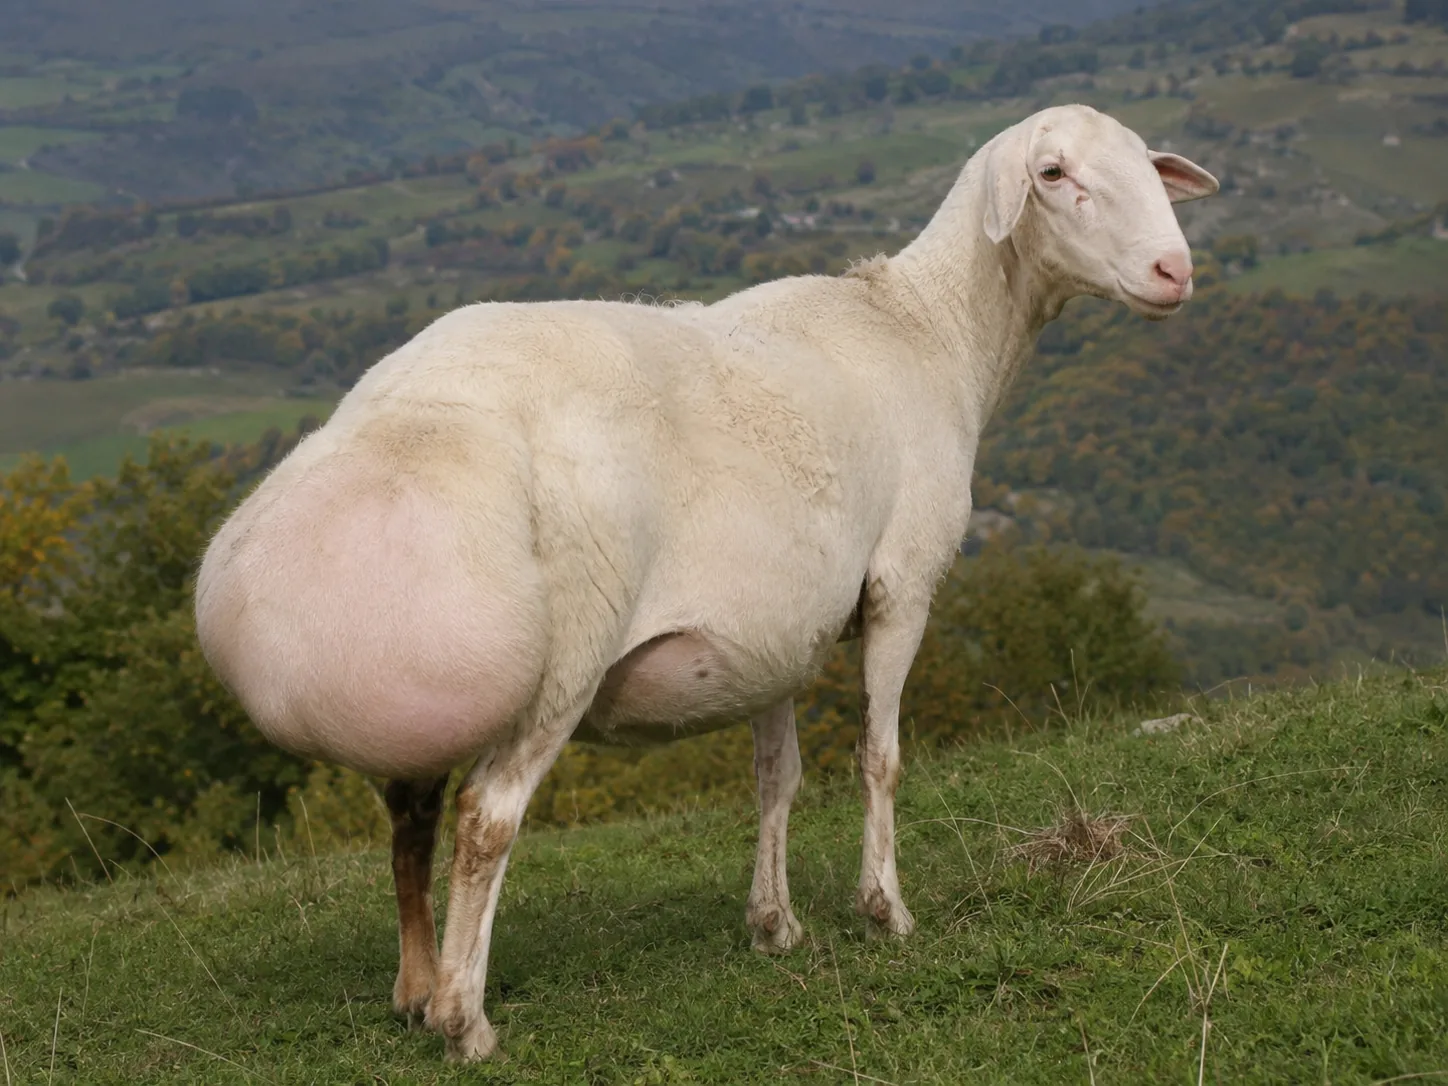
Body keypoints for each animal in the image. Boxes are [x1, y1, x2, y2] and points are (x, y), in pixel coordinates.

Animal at [194, 103, 1217, 1061]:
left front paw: (776, 923)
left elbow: (778, 777)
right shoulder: (902, 583)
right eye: (1052, 173)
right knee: (486, 820)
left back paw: (415, 987)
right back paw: (464, 1017)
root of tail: (400, 416)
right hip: (566, 657)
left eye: (1146, 163)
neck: (931, 331)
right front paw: (885, 909)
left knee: (411, 816)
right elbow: (879, 758)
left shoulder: (777, 631)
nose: (1175, 272)